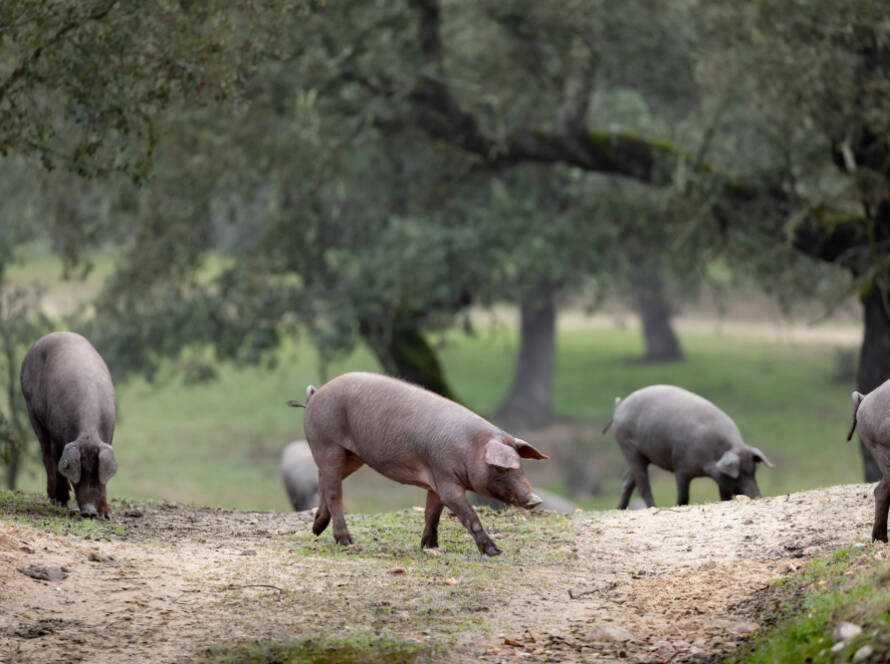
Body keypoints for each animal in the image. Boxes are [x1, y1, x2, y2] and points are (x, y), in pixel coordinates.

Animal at [20, 331, 118, 518]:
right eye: (79, 473)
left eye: (96, 472)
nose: (89, 512)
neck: (88, 433)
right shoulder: (57, 434)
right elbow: (57, 464)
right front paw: (62, 503)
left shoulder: (109, 436)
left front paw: (106, 516)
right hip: (30, 407)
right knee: (46, 455)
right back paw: (57, 501)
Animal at [287, 371, 548, 556]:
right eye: (501, 468)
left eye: (520, 466)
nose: (536, 499)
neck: (470, 449)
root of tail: (314, 395)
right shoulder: (446, 479)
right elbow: (468, 516)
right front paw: (495, 552)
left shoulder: (435, 481)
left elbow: (432, 514)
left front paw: (431, 547)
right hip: (327, 443)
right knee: (334, 491)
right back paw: (346, 541)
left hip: (353, 457)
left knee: (325, 480)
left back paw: (317, 529)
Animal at [603, 385, 772, 508]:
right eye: (740, 473)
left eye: (754, 470)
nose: (757, 495)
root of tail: (619, 407)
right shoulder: (681, 469)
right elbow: (683, 496)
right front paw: (678, 505)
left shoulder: (721, 479)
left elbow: (725, 496)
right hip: (628, 447)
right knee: (642, 484)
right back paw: (653, 507)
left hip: (641, 454)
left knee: (627, 480)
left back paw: (620, 508)